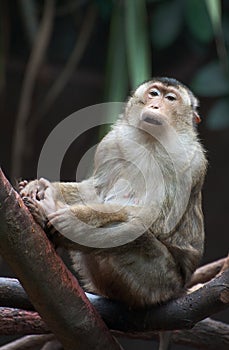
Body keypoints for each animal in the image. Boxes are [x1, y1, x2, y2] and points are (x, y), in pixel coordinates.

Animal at [18, 77, 207, 348]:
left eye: (170, 99)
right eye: (154, 94)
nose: (155, 106)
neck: (151, 140)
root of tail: (179, 288)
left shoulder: (190, 160)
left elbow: (157, 219)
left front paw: (70, 218)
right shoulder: (112, 143)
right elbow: (96, 190)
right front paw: (43, 187)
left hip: (161, 283)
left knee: (131, 234)